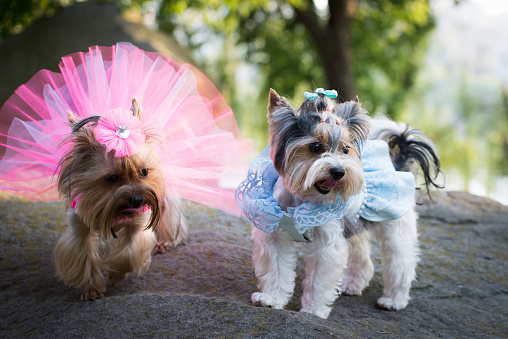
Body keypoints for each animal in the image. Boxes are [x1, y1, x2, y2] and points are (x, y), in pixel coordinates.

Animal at [53, 97, 189, 300]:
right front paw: (91, 290)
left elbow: (131, 252)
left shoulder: (139, 222)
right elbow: (83, 253)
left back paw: (164, 242)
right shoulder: (78, 225)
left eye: (144, 172)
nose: (138, 200)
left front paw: (116, 274)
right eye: (111, 178)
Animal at [238, 87, 440, 318]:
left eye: (345, 149)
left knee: (401, 261)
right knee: (362, 257)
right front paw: (271, 299)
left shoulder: (327, 242)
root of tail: (397, 164)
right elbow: (276, 270)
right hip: (354, 226)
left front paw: (313, 310)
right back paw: (352, 285)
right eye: (316, 147)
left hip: (395, 226)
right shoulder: (276, 235)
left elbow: (318, 280)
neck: (302, 198)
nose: (338, 171)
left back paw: (393, 300)